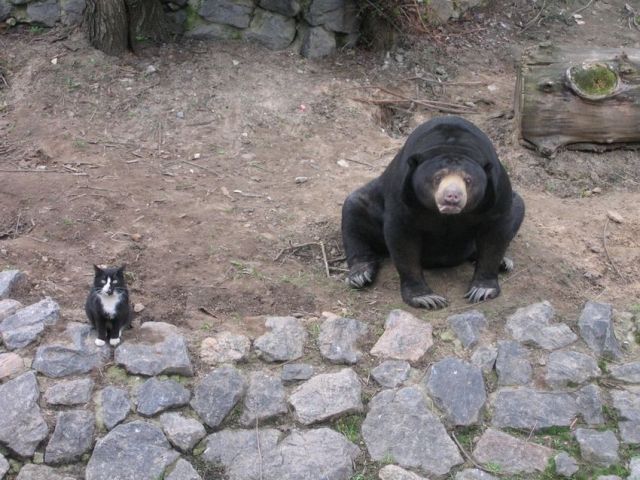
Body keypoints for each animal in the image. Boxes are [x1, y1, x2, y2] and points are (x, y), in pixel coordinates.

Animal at [341, 116, 525, 309]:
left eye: (468, 180)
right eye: (437, 178)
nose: (452, 197)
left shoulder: (496, 194)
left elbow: (496, 233)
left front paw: (482, 290)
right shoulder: (403, 193)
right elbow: (402, 238)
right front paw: (426, 298)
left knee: (518, 205)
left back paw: (504, 262)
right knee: (354, 208)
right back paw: (360, 274)